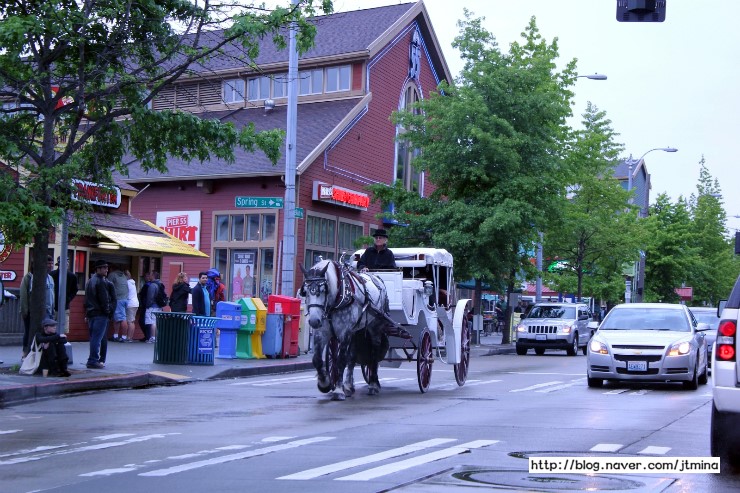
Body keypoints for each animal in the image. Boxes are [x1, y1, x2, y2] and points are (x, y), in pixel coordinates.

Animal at [300, 258, 394, 400]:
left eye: (323, 290)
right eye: (305, 291)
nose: (314, 321)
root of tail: (377, 278)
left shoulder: (345, 333)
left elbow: (341, 361)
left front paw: (338, 390)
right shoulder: (322, 332)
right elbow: (317, 359)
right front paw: (324, 383)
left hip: (375, 327)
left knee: (374, 354)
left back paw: (373, 384)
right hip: (356, 331)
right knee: (353, 356)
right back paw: (349, 386)